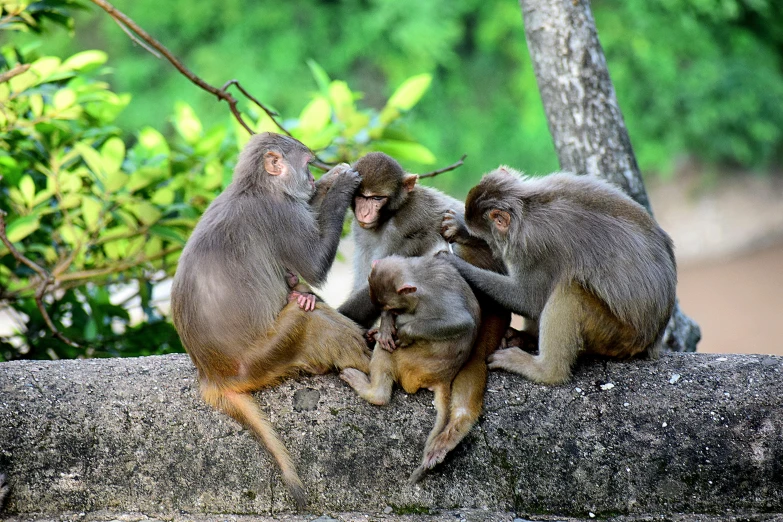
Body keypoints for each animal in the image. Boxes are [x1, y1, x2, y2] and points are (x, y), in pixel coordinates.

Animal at [170, 132, 372, 506]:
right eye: (306, 164)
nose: (311, 178)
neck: (256, 186)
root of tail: (212, 376)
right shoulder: (281, 213)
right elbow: (314, 264)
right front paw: (342, 183)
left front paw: (331, 181)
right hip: (265, 358)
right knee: (306, 320)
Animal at [340, 254, 480, 482]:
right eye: (388, 309)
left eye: (396, 308)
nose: (392, 314)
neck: (419, 275)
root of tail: (444, 377)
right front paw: (386, 326)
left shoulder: (434, 297)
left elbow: (460, 321)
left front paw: (404, 332)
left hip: (413, 361)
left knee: (388, 354)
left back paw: (374, 392)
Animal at [438, 167, 676, 382]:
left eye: (488, 238)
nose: (492, 245)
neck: (526, 206)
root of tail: (653, 339)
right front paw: (459, 227)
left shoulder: (534, 245)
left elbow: (528, 299)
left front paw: (456, 264)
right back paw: (528, 338)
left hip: (619, 336)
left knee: (569, 291)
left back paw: (545, 371)